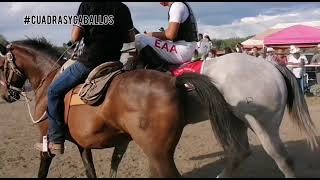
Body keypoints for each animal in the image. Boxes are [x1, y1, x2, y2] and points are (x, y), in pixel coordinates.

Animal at [0, 38, 241, 178]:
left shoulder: (46, 141)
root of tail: (173, 80)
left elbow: (42, 171)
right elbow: (90, 170)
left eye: (1, 66)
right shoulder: (83, 144)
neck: (48, 79)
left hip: (159, 153)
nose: (6, 95)